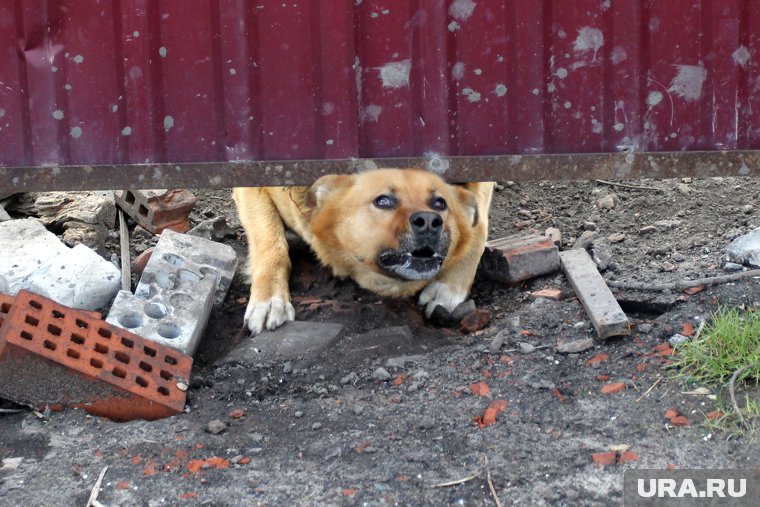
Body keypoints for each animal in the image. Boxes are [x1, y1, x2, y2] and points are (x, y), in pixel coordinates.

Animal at [232, 171, 492, 336]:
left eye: (439, 203)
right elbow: (271, 246)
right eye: (383, 201)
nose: (428, 222)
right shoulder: (252, 184)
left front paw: (449, 287)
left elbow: (477, 225)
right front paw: (269, 298)